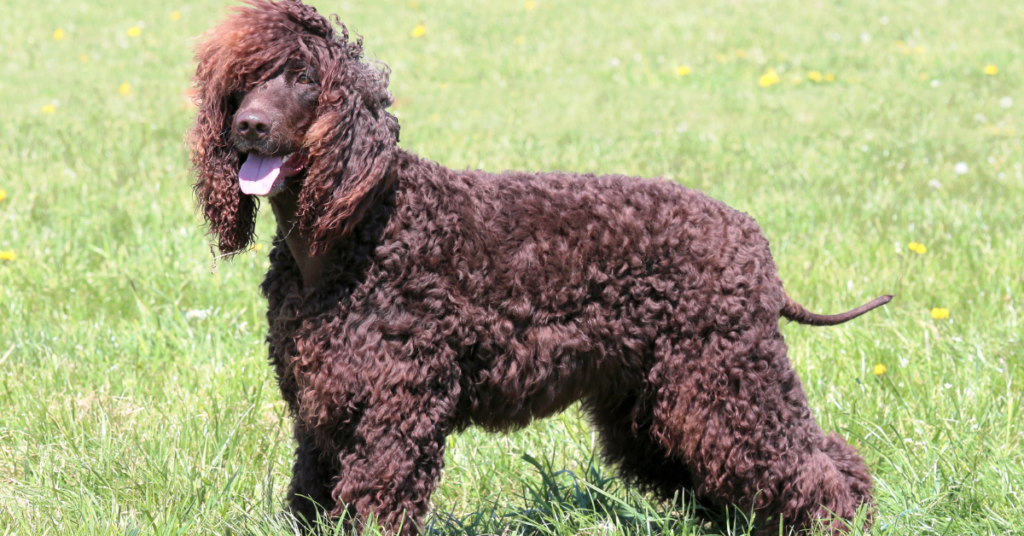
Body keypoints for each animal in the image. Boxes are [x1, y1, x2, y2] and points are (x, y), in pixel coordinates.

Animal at [188, 2, 892, 532]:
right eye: (241, 84)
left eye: (305, 77)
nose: (249, 125)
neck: (348, 234)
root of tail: (751, 239)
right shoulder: (320, 409)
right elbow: (310, 498)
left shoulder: (395, 411)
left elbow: (375, 503)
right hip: (654, 405)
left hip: (725, 378)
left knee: (813, 467)